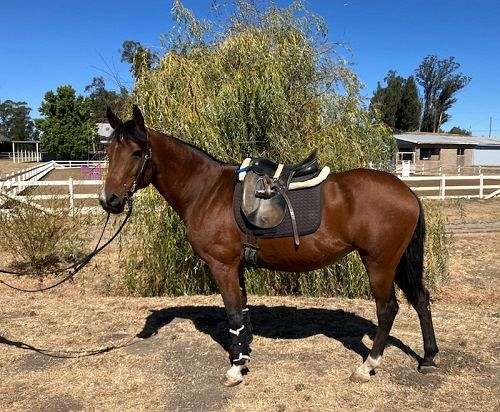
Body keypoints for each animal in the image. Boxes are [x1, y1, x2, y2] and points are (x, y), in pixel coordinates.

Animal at [100, 106, 438, 386]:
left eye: (137, 153)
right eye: (109, 152)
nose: (109, 200)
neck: (206, 191)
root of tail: (407, 192)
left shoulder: (222, 266)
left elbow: (233, 313)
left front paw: (236, 369)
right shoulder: (236, 266)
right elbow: (242, 312)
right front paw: (244, 355)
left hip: (380, 262)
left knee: (388, 309)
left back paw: (367, 366)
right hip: (398, 262)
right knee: (421, 299)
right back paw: (429, 358)